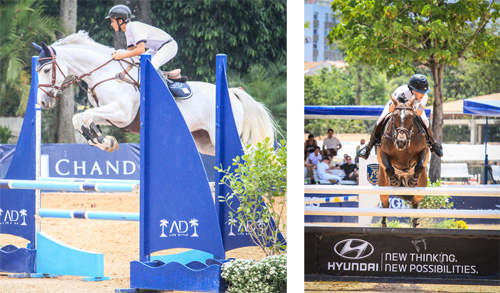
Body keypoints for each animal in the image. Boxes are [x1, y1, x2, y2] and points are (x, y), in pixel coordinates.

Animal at [34, 31, 278, 155]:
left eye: (46, 70)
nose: (43, 103)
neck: (105, 72)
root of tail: (232, 92)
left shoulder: (122, 113)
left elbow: (83, 115)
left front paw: (102, 139)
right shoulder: (111, 115)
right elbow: (79, 118)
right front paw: (104, 141)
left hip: (221, 135)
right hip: (205, 141)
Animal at [378, 94, 430, 227]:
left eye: (411, 117)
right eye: (394, 116)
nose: (401, 142)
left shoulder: (424, 151)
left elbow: (419, 166)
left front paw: (413, 181)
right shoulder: (383, 153)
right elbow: (389, 168)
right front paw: (394, 180)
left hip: (422, 185)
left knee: (415, 202)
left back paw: (416, 222)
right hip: (382, 184)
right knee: (385, 203)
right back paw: (383, 224)